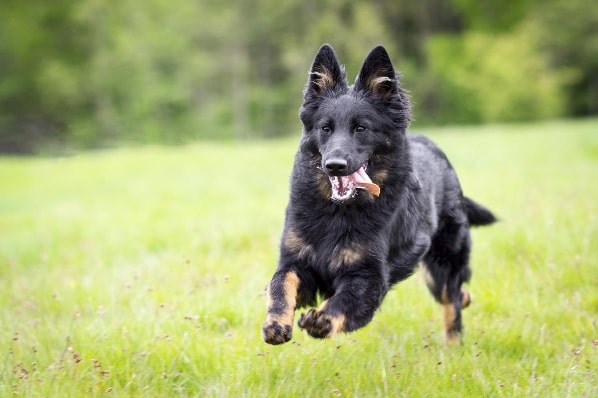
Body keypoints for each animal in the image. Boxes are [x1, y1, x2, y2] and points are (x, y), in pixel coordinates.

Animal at [262, 44, 496, 346]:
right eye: (326, 128)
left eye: (361, 128)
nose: (334, 165)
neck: (338, 211)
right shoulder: (297, 262)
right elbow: (280, 284)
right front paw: (276, 323)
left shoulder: (370, 276)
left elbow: (346, 299)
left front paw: (323, 319)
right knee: (459, 294)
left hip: (441, 266)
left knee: (452, 300)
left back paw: (454, 345)